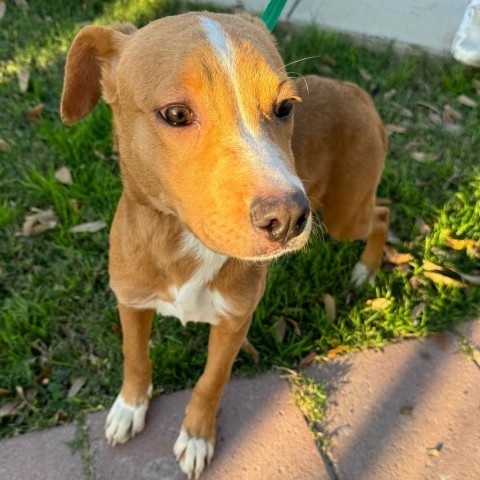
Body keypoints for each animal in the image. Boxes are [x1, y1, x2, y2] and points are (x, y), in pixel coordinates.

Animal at [60, 10, 388, 476]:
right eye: (176, 113)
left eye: (285, 107)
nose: (288, 219)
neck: (183, 244)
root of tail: (354, 90)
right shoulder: (131, 301)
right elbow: (135, 357)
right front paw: (130, 405)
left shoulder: (234, 321)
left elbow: (210, 381)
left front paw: (197, 435)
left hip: (347, 214)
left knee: (383, 214)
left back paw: (367, 269)